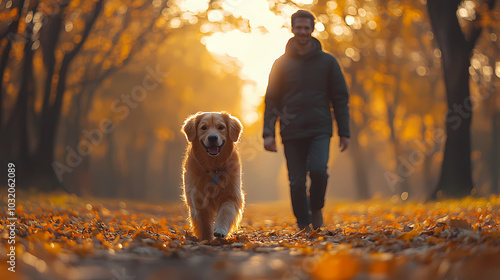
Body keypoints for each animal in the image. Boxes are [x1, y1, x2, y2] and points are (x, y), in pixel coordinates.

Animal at [181, 110, 245, 240]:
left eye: (221, 127)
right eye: (203, 128)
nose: (212, 138)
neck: (213, 168)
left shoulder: (231, 194)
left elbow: (226, 211)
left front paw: (220, 230)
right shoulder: (198, 197)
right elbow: (203, 220)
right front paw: (206, 238)